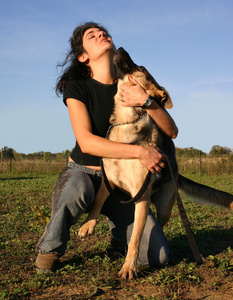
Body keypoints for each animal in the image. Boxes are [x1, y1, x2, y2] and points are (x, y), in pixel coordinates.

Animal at [78, 46, 233, 278]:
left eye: (141, 68)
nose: (120, 47)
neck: (126, 121)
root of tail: (175, 170)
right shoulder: (109, 180)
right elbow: (97, 200)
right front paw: (88, 225)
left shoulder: (140, 197)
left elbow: (135, 239)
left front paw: (129, 267)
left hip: (165, 206)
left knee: (158, 225)